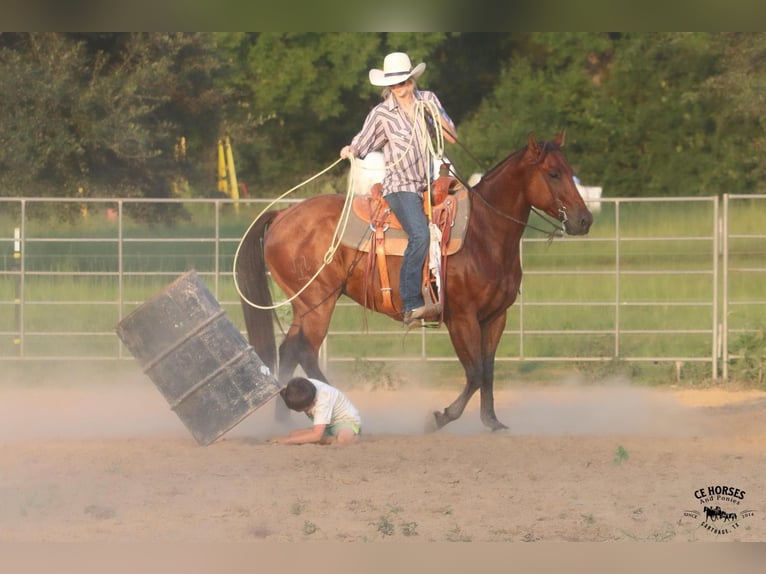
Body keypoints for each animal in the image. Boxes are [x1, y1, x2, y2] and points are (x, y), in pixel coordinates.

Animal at [237, 134, 596, 432]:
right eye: (553, 173)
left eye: (570, 171)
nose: (584, 220)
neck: (483, 233)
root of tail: (283, 214)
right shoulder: (461, 318)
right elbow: (474, 372)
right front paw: (440, 417)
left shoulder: (496, 317)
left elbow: (488, 371)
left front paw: (492, 421)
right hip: (318, 302)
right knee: (306, 351)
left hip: (304, 304)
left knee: (289, 349)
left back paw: (283, 420)